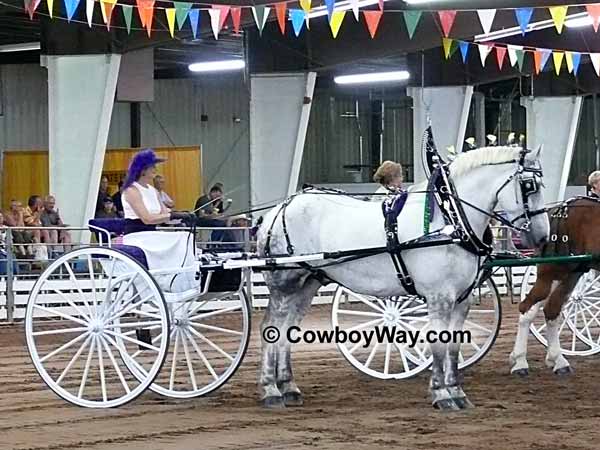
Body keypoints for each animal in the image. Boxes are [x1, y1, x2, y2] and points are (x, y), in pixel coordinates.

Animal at [256, 148, 548, 412]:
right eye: (529, 185)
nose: (542, 237)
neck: (449, 222)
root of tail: (279, 209)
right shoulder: (439, 297)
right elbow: (438, 344)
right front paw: (441, 394)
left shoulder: (462, 300)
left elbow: (453, 346)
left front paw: (457, 392)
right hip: (284, 283)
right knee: (271, 328)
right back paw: (271, 390)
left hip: (308, 283)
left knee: (287, 329)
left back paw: (289, 387)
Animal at [508, 197, 600, 376]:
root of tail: (560, 209)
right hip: (552, 272)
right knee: (527, 308)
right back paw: (520, 362)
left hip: (571, 274)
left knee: (551, 310)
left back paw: (558, 361)